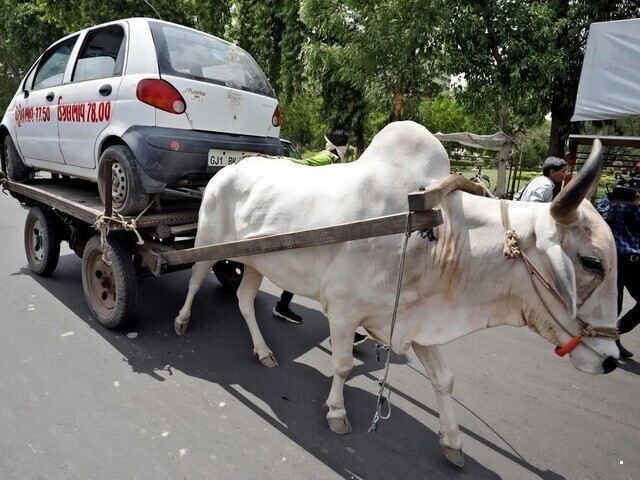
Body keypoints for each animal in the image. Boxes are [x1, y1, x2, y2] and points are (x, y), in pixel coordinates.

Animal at [172, 122, 616, 466]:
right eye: (591, 262)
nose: (612, 360)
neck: (435, 234)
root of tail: (229, 169)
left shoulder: (418, 323)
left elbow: (445, 381)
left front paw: (453, 442)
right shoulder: (344, 311)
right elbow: (342, 366)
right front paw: (337, 413)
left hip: (256, 262)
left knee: (246, 301)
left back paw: (263, 351)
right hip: (207, 242)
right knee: (194, 281)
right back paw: (182, 320)